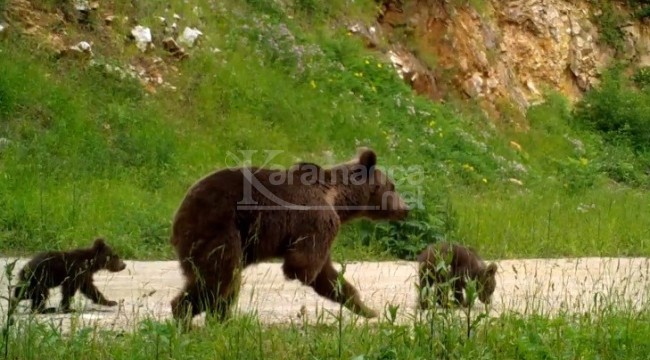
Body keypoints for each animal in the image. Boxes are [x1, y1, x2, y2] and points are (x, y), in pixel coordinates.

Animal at [170, 148, 408, 322]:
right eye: (392, 186)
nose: (406, 209)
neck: (337, 199)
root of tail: (180, 211)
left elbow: (329, 276)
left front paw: (368, 310)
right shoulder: (317, 222)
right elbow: (303, 267)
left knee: (220, 281)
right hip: (219, 226)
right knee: (219, 277)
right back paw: (193, 315)